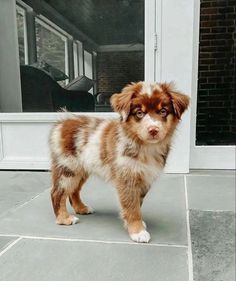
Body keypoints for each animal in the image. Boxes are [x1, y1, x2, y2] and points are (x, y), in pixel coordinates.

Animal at [48, 81, 189, 243]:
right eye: (139, 113)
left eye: (163, 111)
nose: (153, 130)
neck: (144, 146)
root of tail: (63, 122)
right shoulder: (128, 177)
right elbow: (132, 206)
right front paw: (137, 231)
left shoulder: (144, 178)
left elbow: (137, 204)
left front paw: (135, 223)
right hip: (68, 167)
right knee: (57, 192)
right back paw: (64, 218)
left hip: (82, 169)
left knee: (74, 191)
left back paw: (82, 208)